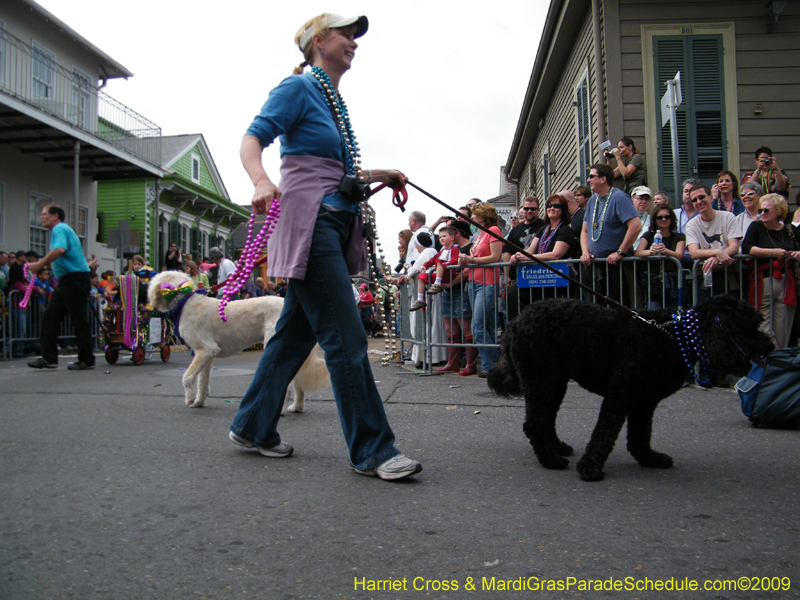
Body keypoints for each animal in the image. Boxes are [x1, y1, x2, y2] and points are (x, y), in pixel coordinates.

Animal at [147, 270, 328, 410]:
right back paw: (296, 407)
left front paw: (189, 398)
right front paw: (198, 402)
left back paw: (281, 410)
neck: (184, 303)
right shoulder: (208, 354)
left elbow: (187, 377)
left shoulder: (205, 349)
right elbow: (203, 382)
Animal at [488, 296, 776, 482]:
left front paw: (648, 457)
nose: (770, 345)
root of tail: (515, 321)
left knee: (546, 418)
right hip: (542, 378)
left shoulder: (644, 402)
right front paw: (590, 468)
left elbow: (640, 434)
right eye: (750, 327)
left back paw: (556, 448)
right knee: (536, 422)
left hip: (553, 381)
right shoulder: (620, 394)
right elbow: (605, 434)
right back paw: (551, 460)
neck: (675, 337)